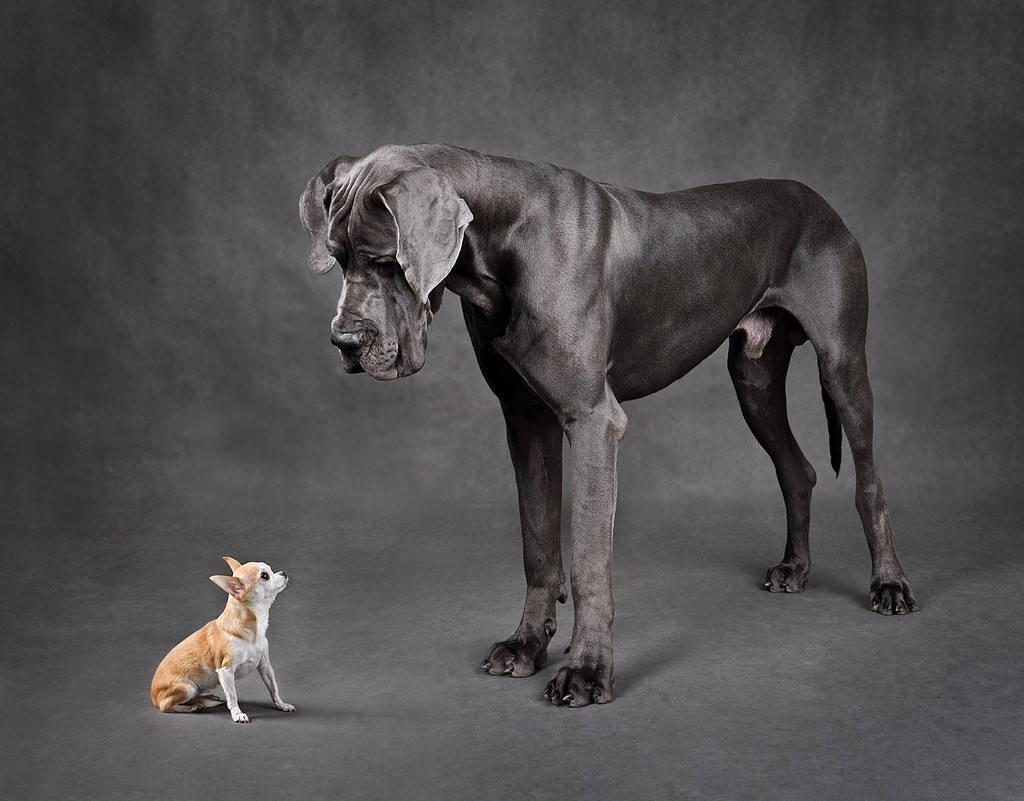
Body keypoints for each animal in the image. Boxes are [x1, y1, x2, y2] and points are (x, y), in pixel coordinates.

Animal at [151, 557, 296, 729]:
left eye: (270, 570)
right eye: (265, 576)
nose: (283, 572)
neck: (253, 631)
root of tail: (153, 697)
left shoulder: (265, 666)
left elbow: (273, 688)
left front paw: (281, 704)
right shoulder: (226, 671)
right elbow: (232, 696)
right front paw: (238, 714)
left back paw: (209, 698)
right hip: (187, 688)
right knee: (167, 706)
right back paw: (192, 707)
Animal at [299, 145, 921, 708]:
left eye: (386, 260)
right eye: (337, 256)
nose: (344, 342)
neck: (503, 241)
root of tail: (819, 201)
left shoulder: (593, 421)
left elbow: (590, 561)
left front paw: (587, 670)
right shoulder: (525, 419)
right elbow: (538, 545)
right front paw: (527, 644)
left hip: (842, 367)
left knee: (869, 482)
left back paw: (889, 584)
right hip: (755, 382)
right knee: (799, 470)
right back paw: (796, 567)